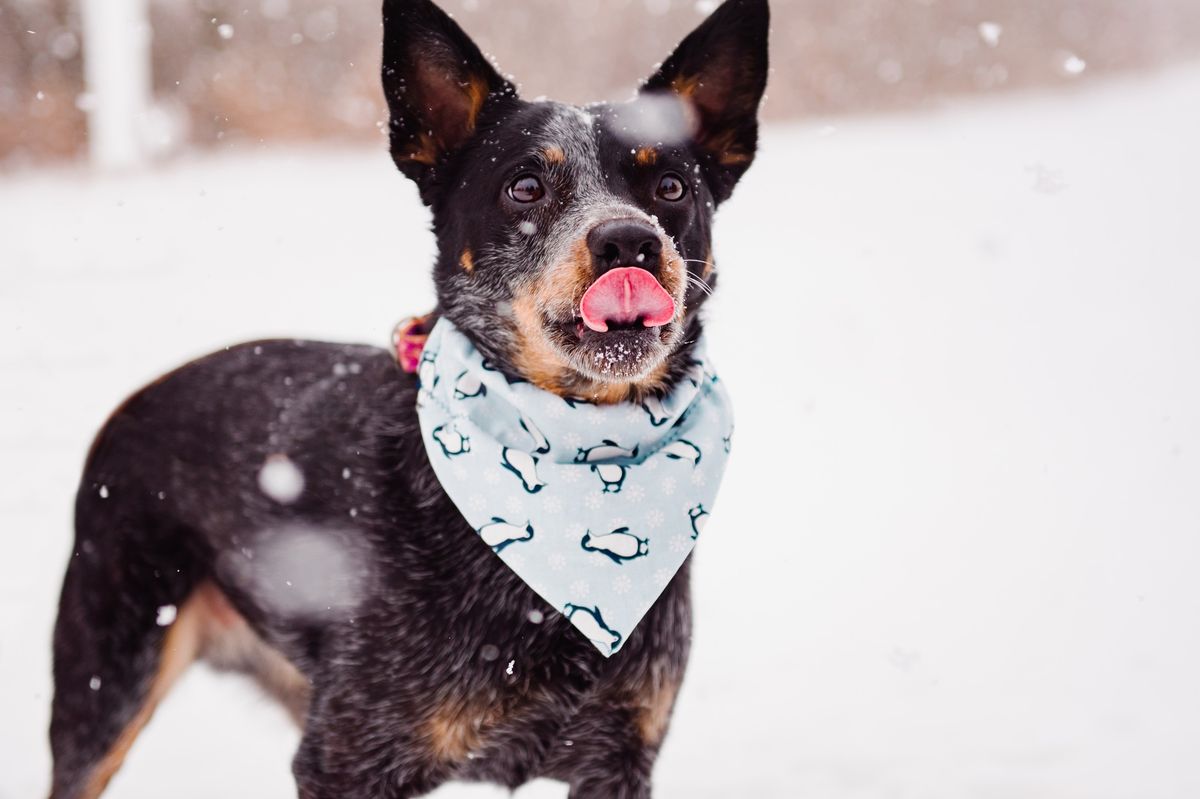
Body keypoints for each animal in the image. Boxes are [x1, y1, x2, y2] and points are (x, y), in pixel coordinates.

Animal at [46, 3, 768, 791]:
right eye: (525, 187)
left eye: (670, 188)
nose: (629, 242)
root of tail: (132, 401)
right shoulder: (345, 757)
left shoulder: (620, 759)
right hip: (108, 681)